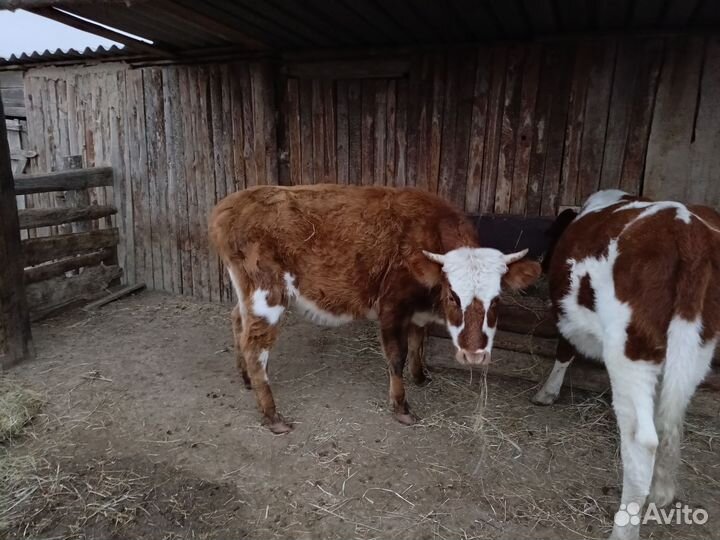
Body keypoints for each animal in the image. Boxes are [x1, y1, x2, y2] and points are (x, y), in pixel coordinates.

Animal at [209, 184, 541, 434]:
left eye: (497, 299)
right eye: (452, 296)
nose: (474, 354)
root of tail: (231, 204)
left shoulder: (417, 312)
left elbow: (418, 342)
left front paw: (420, 376)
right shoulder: (392, 306)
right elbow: (397, 355)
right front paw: (401, 407)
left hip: (247, 294)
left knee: (237, 320)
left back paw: (245, 379)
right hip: (268, 294)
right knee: (255, 347)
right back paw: (273, 416)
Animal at [538, 189, 720, 540]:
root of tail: (689, 230)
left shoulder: (565, 316)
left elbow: (564, 350)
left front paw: (547, 392)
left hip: (631, 348)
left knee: (642, 440)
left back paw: (624, 528)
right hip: (696, 348)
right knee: (668, 421)